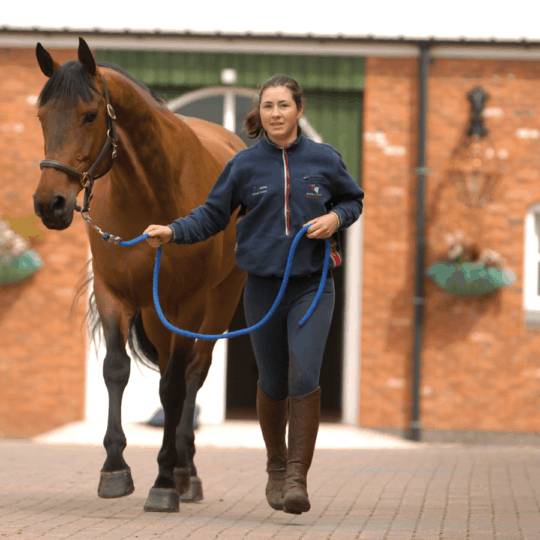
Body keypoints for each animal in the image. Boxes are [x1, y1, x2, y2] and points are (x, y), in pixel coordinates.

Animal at [31, 38, 247, 510]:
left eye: (90, 115)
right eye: (41, 116)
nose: (49, 204)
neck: (151, 192)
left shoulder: (188, 305)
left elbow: (174, 387)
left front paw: (163, 481)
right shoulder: (115, 295)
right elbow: (116, 370)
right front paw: (114, 469)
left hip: (218, 302)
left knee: (193, 373)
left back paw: (185, 473)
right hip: (155, 313)